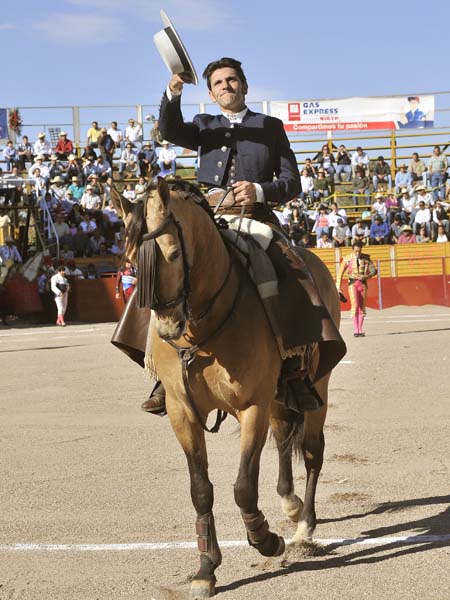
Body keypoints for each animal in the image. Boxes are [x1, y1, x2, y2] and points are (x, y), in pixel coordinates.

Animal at [113, 178, 344, 600]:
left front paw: (266, 540)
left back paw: (304, 524)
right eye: (132, 261)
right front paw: (206, 568)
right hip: (276, 397)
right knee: (284, 438)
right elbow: (201, 489)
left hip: (317, 386)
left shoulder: (251, 406)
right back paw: (288, 502)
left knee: (311, 452)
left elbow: (243, 487)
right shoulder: (182, 412)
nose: (167, 328)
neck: (201, 331)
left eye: (173, 253)